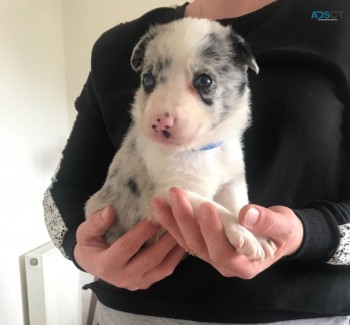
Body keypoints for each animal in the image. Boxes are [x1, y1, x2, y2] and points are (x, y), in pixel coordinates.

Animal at [85, 18, 276, 260]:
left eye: (205, 81)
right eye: (147, 80)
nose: (159, 122)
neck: (200, 149)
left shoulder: (231, 182)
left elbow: (240, 206)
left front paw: (257, 234)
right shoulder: (172, 192)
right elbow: (215, 209)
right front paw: (243, 233)